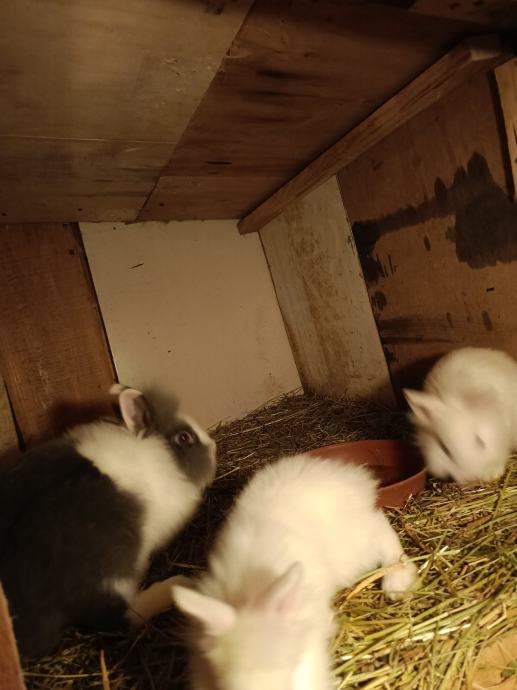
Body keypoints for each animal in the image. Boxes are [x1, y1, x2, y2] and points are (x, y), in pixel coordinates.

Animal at [0, 383, 216, 658]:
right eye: (185, 438)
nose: (214, 446)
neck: (157, 457)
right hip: (113, 573)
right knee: (121, 618)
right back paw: (177, 584)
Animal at [171, 453, 417, 690]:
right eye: (222, 683)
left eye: (292, 671)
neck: (247, 595)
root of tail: (348, 476)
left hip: (357, 545)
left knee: (382, 531)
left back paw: (397, 584)